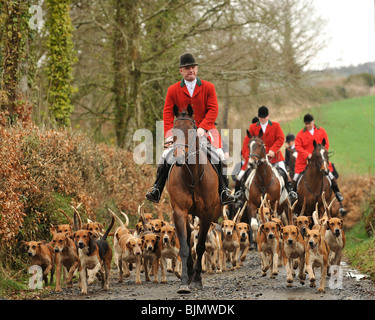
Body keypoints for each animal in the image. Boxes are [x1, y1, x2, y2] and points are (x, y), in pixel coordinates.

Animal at [166, 104, 222, 294]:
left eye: (191, 130)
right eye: (174, 130)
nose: (178, 158)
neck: (191, 175)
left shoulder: (207, 213)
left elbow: (200, 246)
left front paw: (197, 279)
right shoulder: (179, 212)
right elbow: (185, 247)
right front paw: (184, 281)